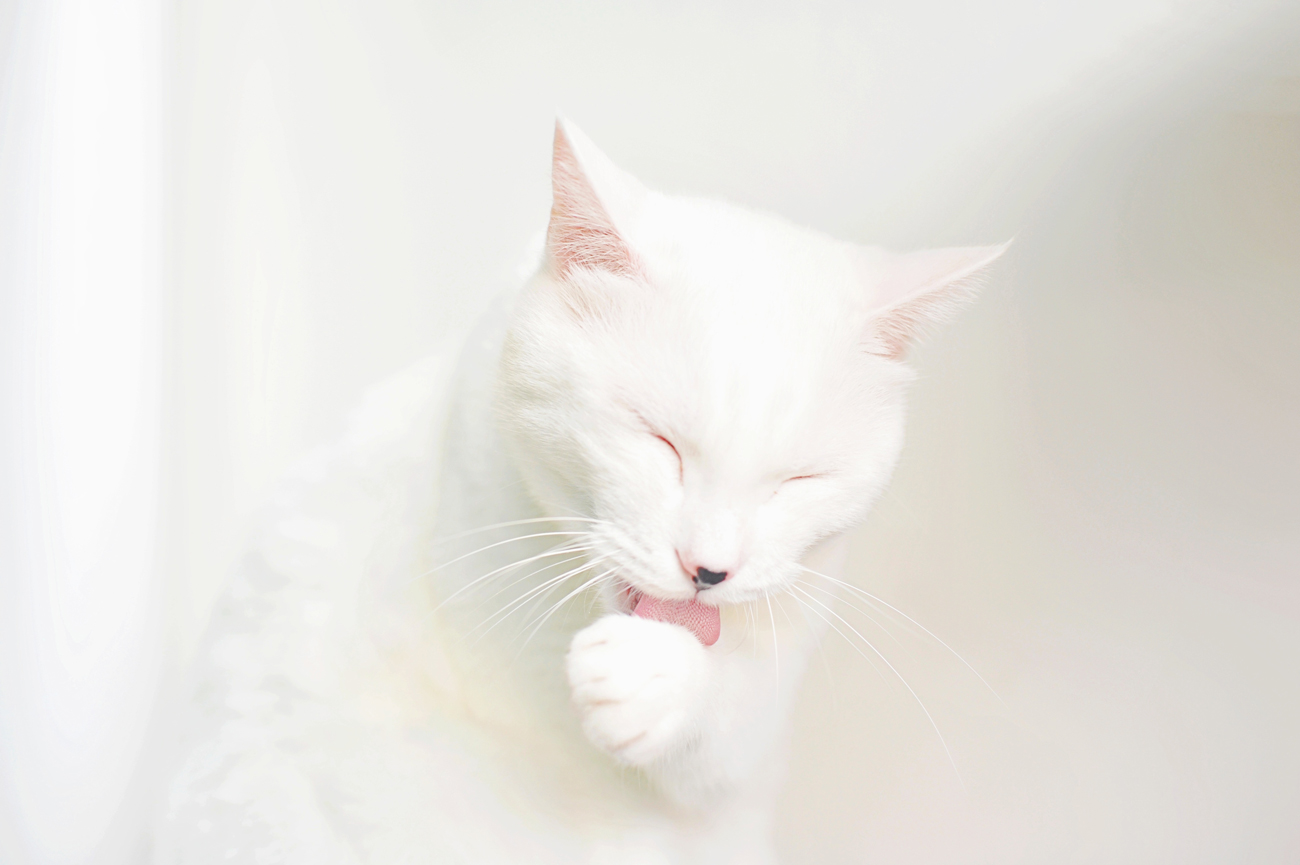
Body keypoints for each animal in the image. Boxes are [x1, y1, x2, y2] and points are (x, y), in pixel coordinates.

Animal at [154, 121, 1003, 863]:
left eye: (797, 481)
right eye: (658, 440)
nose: (708, 569)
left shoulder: (774, 672)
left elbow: (727, 727)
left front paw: (657, 678)